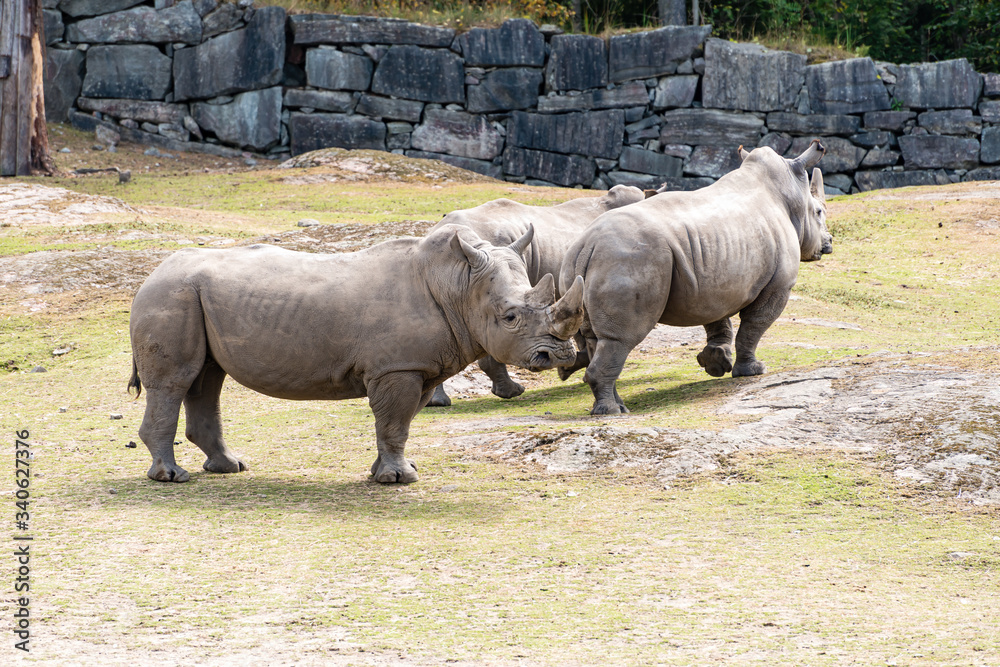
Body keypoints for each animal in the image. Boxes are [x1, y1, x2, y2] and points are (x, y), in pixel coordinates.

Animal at [128, 224, 586, 484]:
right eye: (510, 317)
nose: (559, 356)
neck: (459, 283)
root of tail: (151, 274)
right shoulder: (396, 368)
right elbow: (394, 421)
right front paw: (398, 480)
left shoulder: (417, 366)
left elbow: (399, 424)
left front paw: (390, 472)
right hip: (171, 295)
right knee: (176, 383)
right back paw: (172, 478)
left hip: (188, 294)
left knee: (206, 379)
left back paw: (230, 468)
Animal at [558, 140, 832, 415]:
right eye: (819, 212)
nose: (829, 242)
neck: (789, 194)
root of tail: (587, 245)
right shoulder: (778, 285)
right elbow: (754, 326)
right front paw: (752, 371)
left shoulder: (714, 279)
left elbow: (717, 318)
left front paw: (716, 363)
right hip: (628, 259)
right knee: (620, 339)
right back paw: (611, 412)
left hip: (576, 266)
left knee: (596, 340)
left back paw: (620, 407)